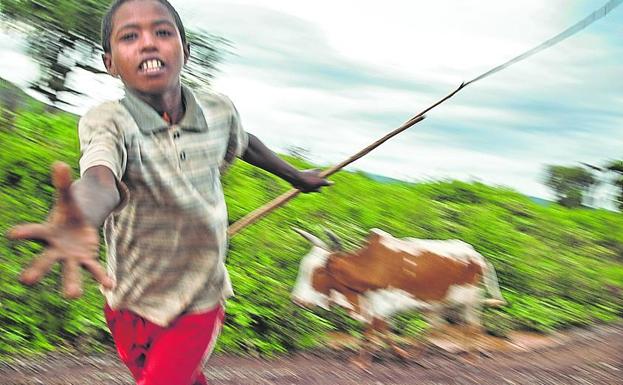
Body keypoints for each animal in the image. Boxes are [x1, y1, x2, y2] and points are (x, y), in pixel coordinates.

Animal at [292, 226, 508, 368]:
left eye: (320, 271)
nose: (296, 300)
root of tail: (476, 255)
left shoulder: (382, 302)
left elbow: (375, 330)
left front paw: (364, 361)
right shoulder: (370, 301)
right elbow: (376, 330)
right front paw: (397, 355)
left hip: (471, 299)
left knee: (472, 325)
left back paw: (469, 358)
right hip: (438, 303)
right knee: (438, 326)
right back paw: (419, 354)